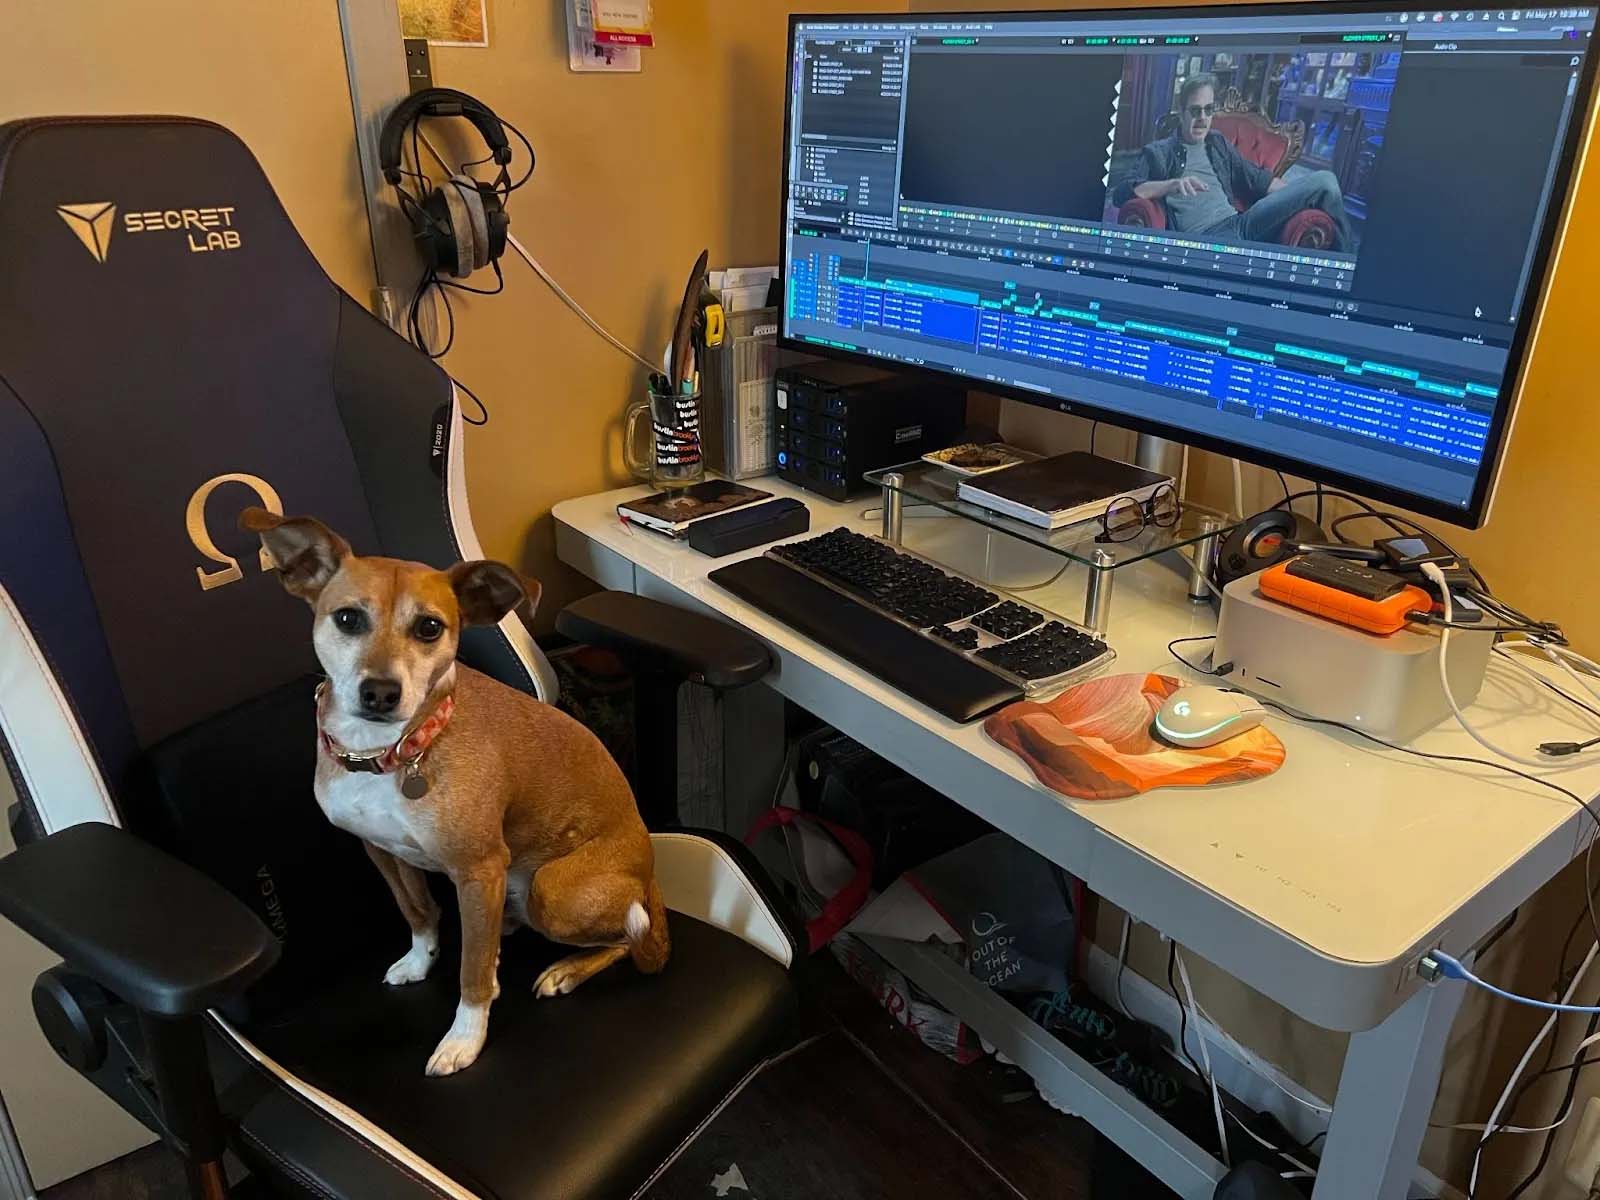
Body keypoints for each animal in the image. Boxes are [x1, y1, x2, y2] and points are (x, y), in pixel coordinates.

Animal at [238, 508, 668, 1081]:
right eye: (348, 619)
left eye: (429, 627)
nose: (380, 693)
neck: (390, 755)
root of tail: (648, 873)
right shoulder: (379, 851)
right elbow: (418, 912)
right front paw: (420, 960)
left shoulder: (477, 870)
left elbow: (471, 974)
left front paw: (465, 1037)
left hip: (550, 891)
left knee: (624, 939)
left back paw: (565, 970)